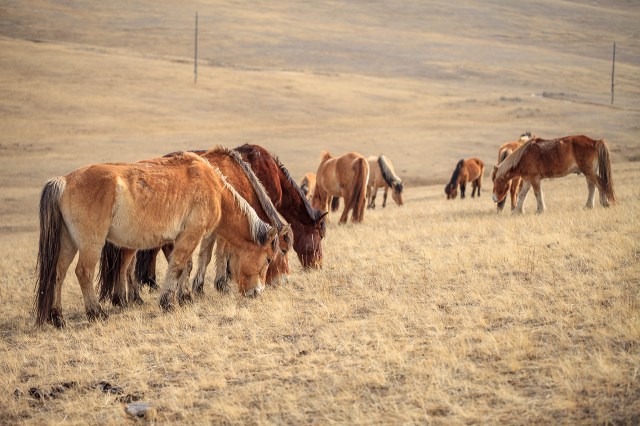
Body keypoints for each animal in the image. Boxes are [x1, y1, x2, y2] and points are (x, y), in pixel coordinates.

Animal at [35, 152, 278, 328]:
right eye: (268, 259)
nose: (257, 293)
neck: (215, 188)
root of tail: (63, 181)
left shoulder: (181, 238)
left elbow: (186, 266)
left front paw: (184, 297)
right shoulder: (192, 234)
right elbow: (178, 266)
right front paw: (168, 302)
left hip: (68, 242)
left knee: (59, 273)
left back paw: (57, 318)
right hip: (91, 244)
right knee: (83, 272)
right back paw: (97, 313)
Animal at [99, 147, 293, 304]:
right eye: (279, 252)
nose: (283, 280)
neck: (232, 178)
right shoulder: (212, 231)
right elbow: (210, 256)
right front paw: (205, 287)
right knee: (128, 266)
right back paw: (133, 298)